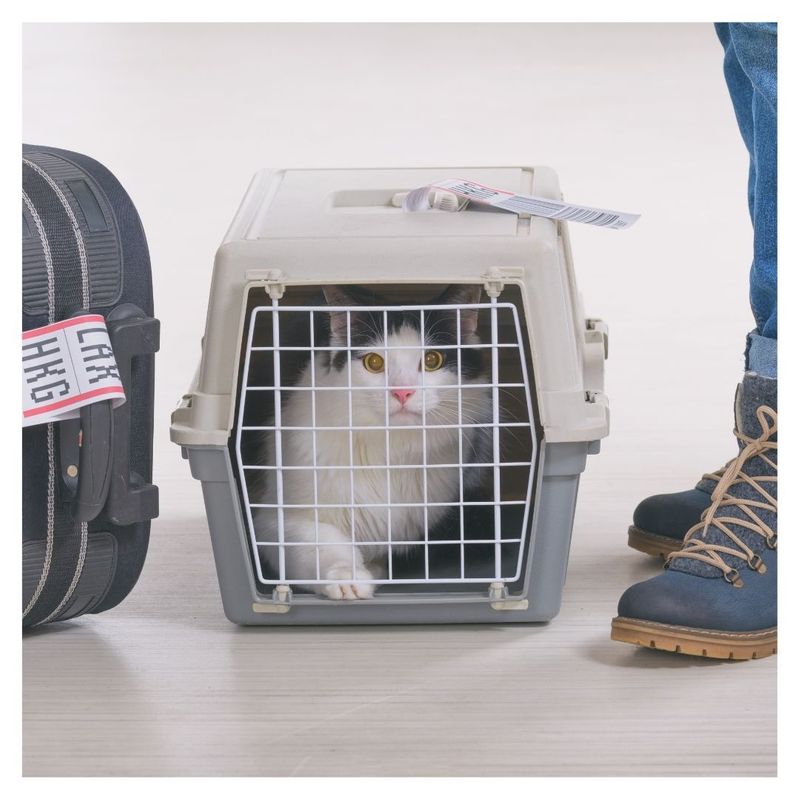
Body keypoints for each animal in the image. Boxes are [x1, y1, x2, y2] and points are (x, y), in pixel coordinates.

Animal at [258, 284, 494, 596]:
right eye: (374, 363)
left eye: (432, 360)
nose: (402, 392)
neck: (390, 449)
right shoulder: (277, 518)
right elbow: (321, 542)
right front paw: (348, 577)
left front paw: (374, 569)